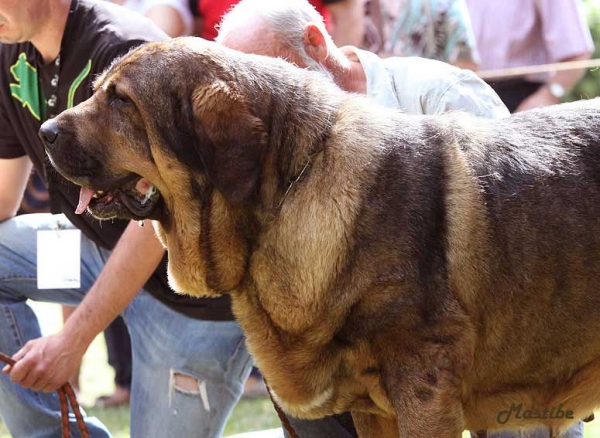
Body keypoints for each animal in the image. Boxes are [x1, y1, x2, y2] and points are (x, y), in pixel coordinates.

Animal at [41, 38, 600, 438]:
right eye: (98, 89)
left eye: (121, 101)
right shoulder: (374, 410)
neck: (290, 189)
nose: (45, 131)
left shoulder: (425, 392)